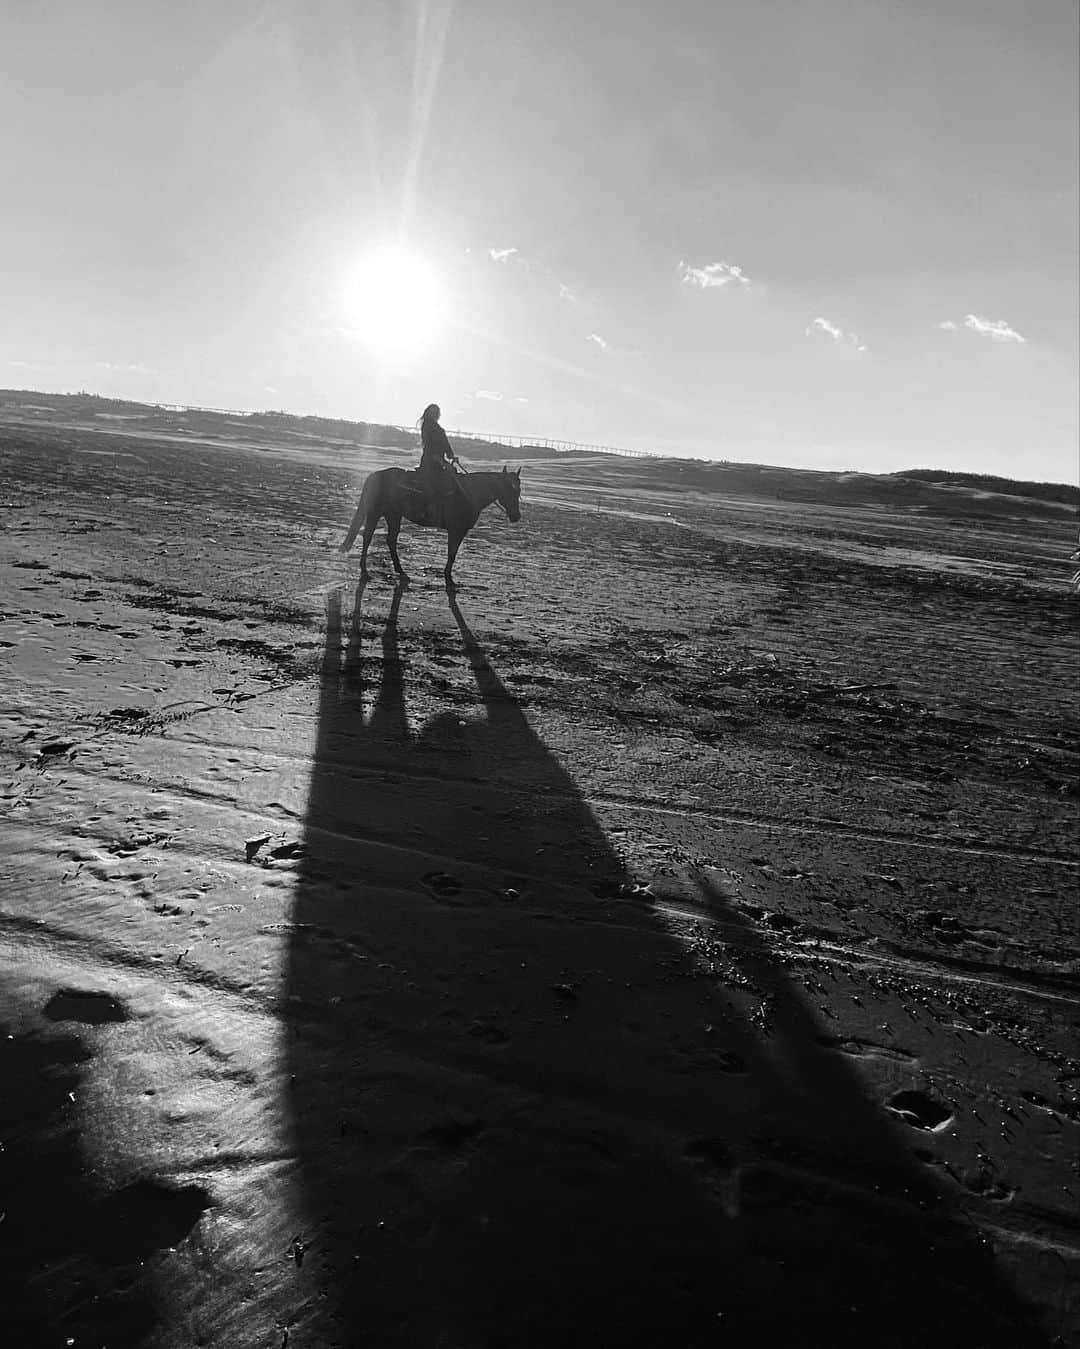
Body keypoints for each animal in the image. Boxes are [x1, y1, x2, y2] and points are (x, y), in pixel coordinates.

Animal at [339, 464, 520, 585]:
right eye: (509, 489)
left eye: (518, 490)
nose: (516, 516)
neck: (469, 493)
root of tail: (376, 474)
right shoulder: (456, 530)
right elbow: (452, 554)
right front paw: (448, 578)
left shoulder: (459, 531)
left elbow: (453, 554)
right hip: (375, 512)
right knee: (368, 536)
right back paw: (365, 571)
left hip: (393, 515)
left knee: (390, 540)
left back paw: (401, 571)